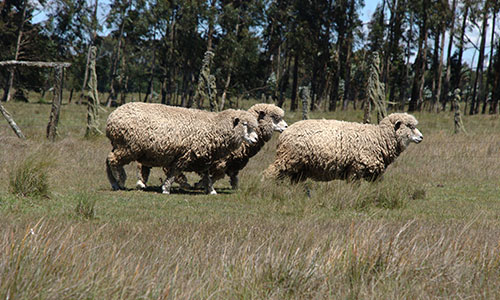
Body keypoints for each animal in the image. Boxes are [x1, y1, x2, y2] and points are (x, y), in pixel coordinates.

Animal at [264, 113, 424, 182]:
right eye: (410, 126)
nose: (421, 137)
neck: (379, 138)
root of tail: (285, 132)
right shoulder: (356, 168)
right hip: (287, 159)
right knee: (271, 173)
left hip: (300, 167)